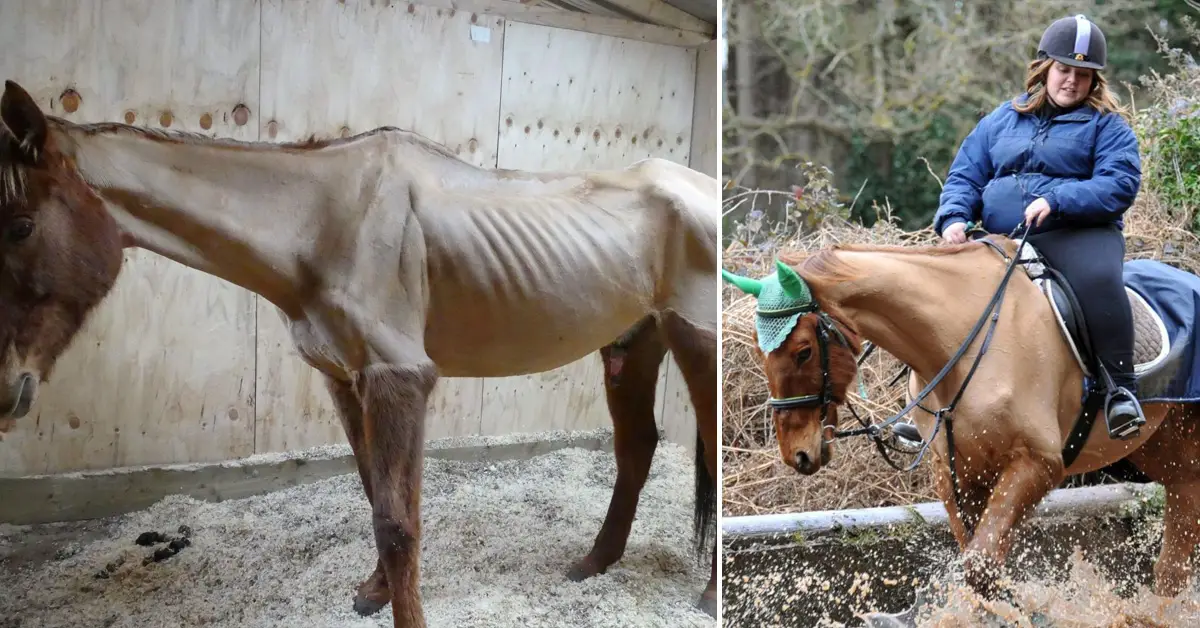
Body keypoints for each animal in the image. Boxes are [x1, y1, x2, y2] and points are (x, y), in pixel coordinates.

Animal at [0, 79, 719, 626]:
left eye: (21, 225)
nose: (9, 391)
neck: (326, 221)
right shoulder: (346, 380)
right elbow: (377, 494)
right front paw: (373, 592)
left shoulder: (398, 378)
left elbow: (397, 522)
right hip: (633, 345)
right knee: (637, 450)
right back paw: (594, 563)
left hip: (697, 344)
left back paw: (708, 594)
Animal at [721, 228, 1200, 625]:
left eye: (803, 351)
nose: (797, 454)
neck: (959, 343)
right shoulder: (955, 467)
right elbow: (975, 556)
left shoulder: (1037, 464)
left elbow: (979, 563)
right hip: (1164, 454)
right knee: (1175, 549)